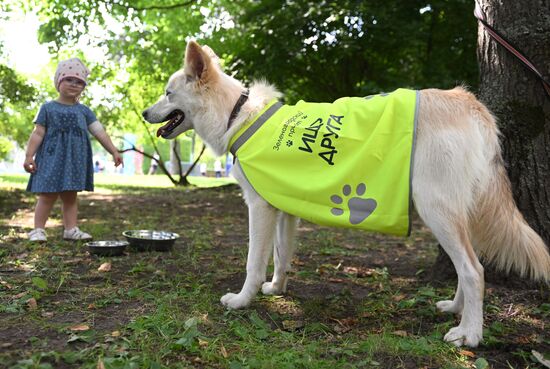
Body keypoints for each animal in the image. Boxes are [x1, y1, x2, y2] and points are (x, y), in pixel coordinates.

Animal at [143, 41, 550, 346]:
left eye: (167, 93)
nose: (146, 113)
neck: (237, 113)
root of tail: (470, 102)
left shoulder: (258, 208)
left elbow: (253, 263)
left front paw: (243, 300)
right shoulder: (283, 208)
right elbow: (281, 256)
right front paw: (277, 289)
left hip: (435, 209)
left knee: (473, 269)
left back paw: (469, 334)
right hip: (451, 214)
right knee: (468, 266)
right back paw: (456, 310)